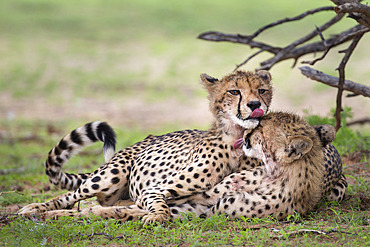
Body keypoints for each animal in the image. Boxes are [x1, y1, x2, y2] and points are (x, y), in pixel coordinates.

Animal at [18, 70, 272, 224]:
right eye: (234, 91)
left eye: (261, 90)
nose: (254, 104)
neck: (238, 140)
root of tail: (144, 140)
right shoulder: (153, 190)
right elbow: (160, 206)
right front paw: (157, 216)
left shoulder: (200, 205)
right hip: (110, 174)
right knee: (71, 195)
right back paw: (35, 208)